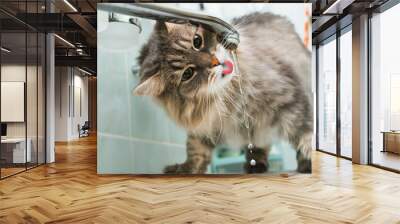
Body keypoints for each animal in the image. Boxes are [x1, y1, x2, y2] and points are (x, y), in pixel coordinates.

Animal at [134, 11, 312, 173]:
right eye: (187, 74)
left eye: (197, 41)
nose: (215, 63)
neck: (226, 95)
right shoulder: (204, 125)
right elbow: (195, 151)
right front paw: (185, 169)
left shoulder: (289, 100)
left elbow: (304, 132)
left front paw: (308, 159)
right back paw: (256, 164)